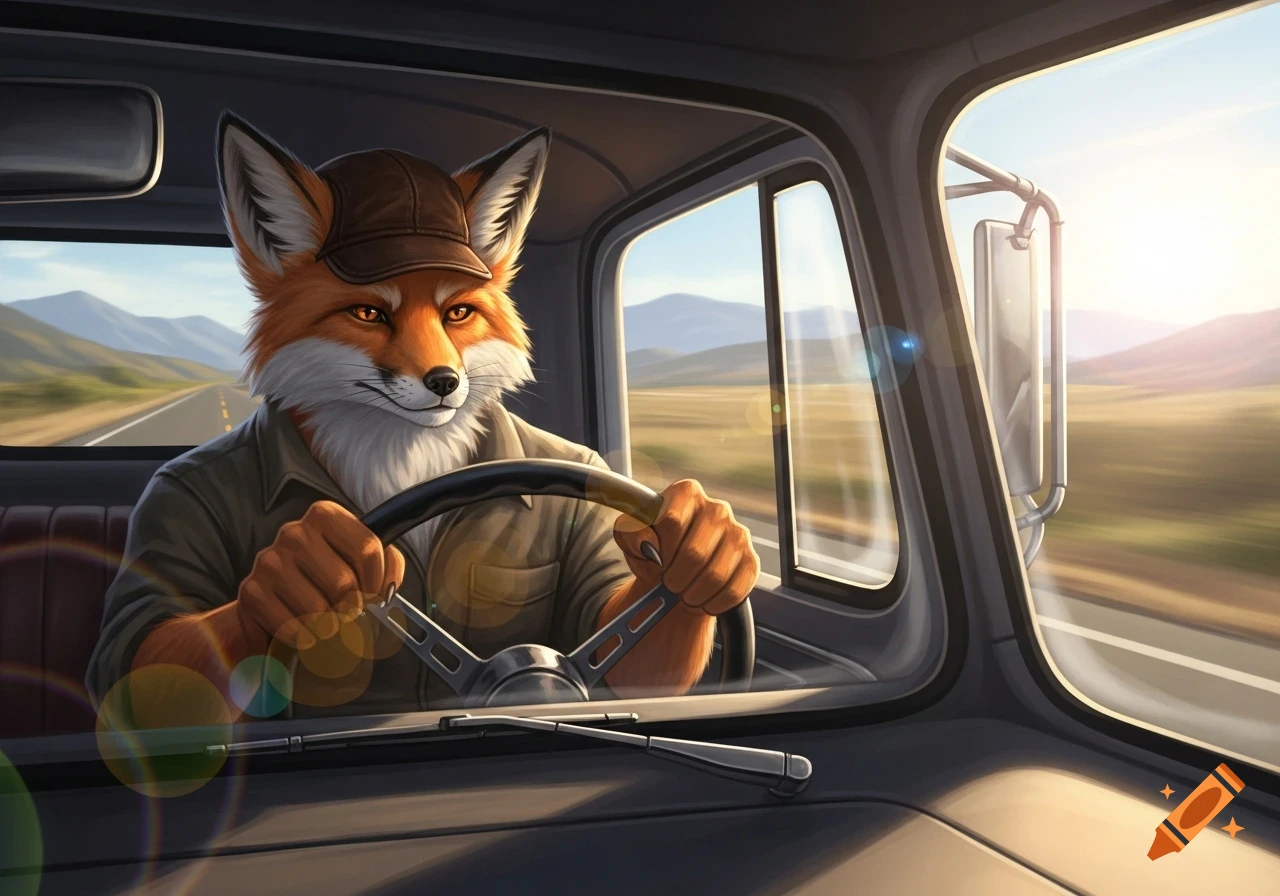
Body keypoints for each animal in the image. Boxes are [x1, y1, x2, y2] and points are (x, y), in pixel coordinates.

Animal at [114, 114, 760, 714]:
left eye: (458, 312)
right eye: (369, 313)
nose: (446, 382)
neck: (402, 461)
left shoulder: (586, 469)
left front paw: (698, 545)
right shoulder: (172, 493)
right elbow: (146, 665)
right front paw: (302, 569)